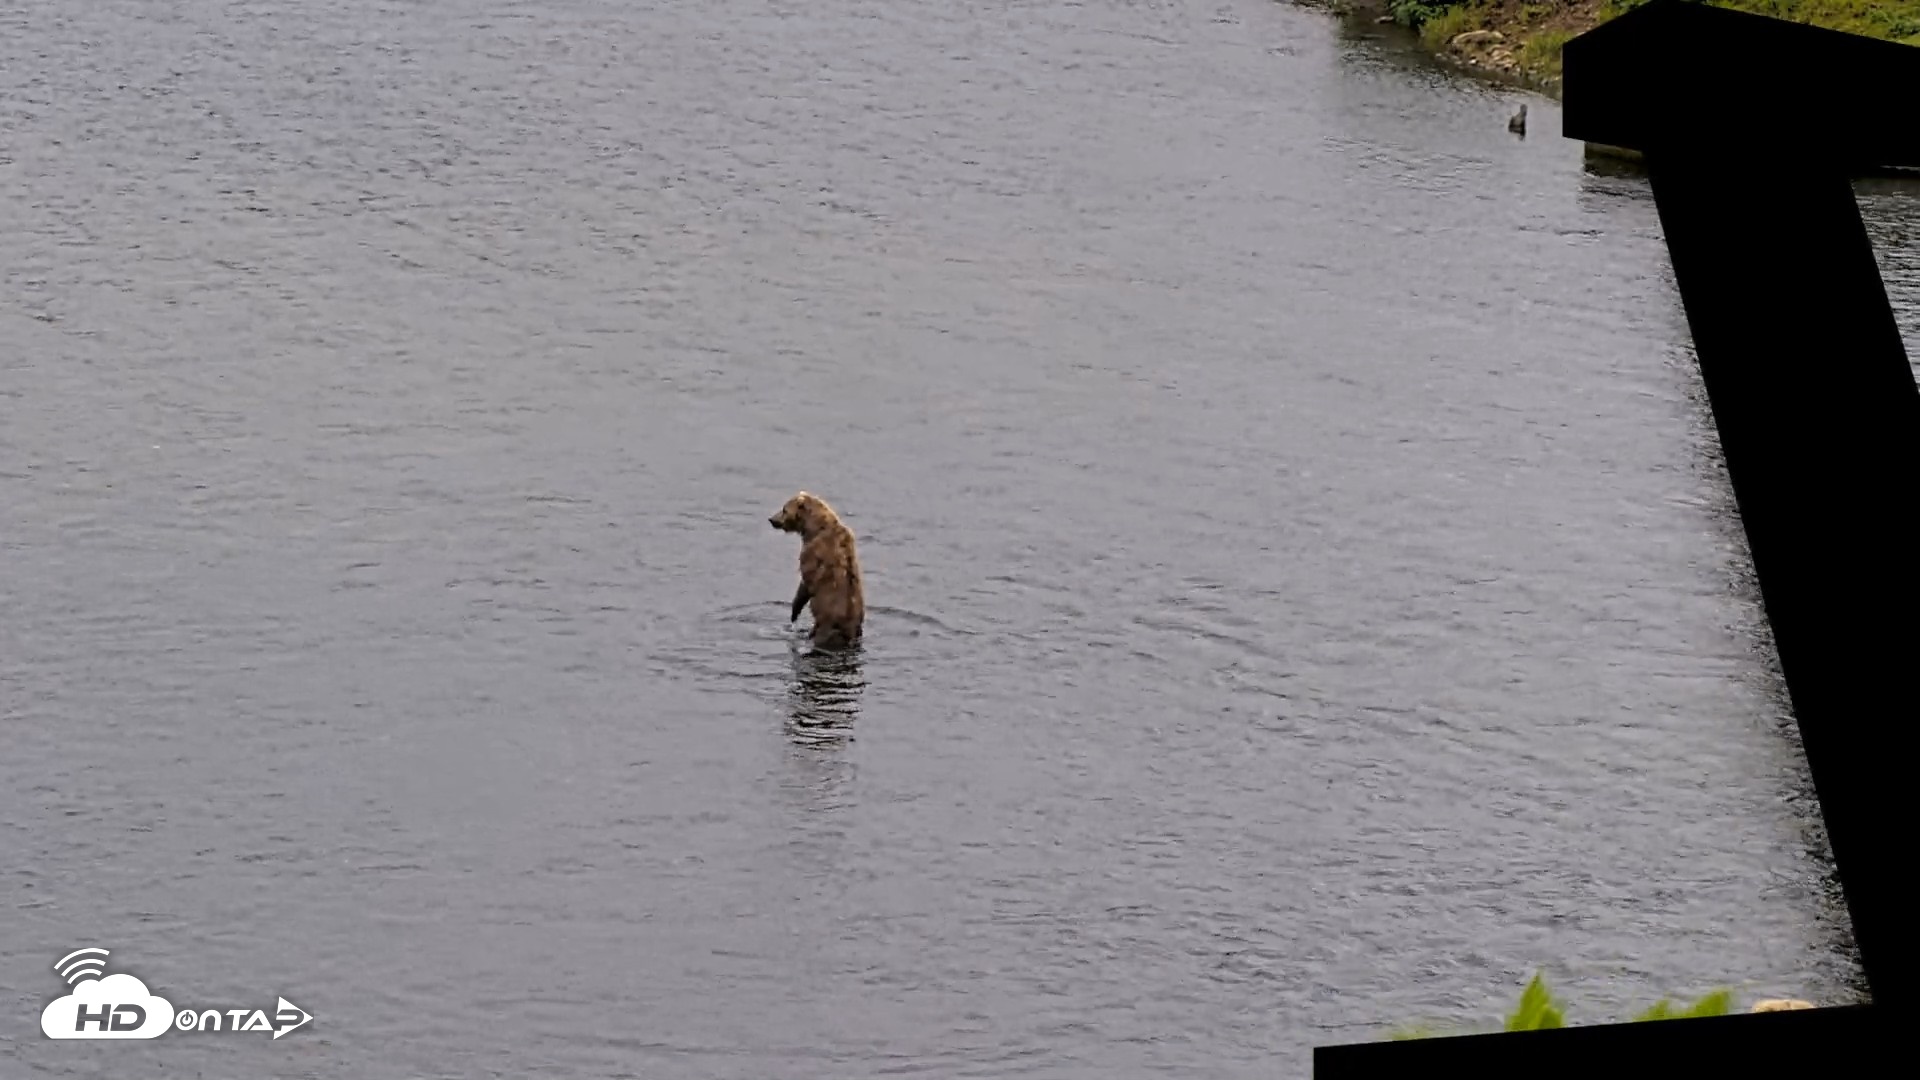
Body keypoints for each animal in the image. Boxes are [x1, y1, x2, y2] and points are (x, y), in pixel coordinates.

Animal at [768, 491, 865, 649]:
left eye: (784, 509)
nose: (771, 519)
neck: (815, 527)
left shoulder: (812, 553)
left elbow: (805, 583)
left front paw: (794, 613)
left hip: (826, 626)